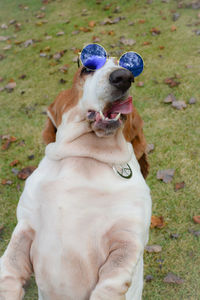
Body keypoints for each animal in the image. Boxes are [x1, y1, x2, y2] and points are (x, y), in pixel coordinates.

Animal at [0, 57, 152, 298]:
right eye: (87, 69)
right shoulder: (26, 224)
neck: (86, 157)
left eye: (126, 66)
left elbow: (112, 279)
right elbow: (10, 264)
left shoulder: (128, 236)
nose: (123, 77)